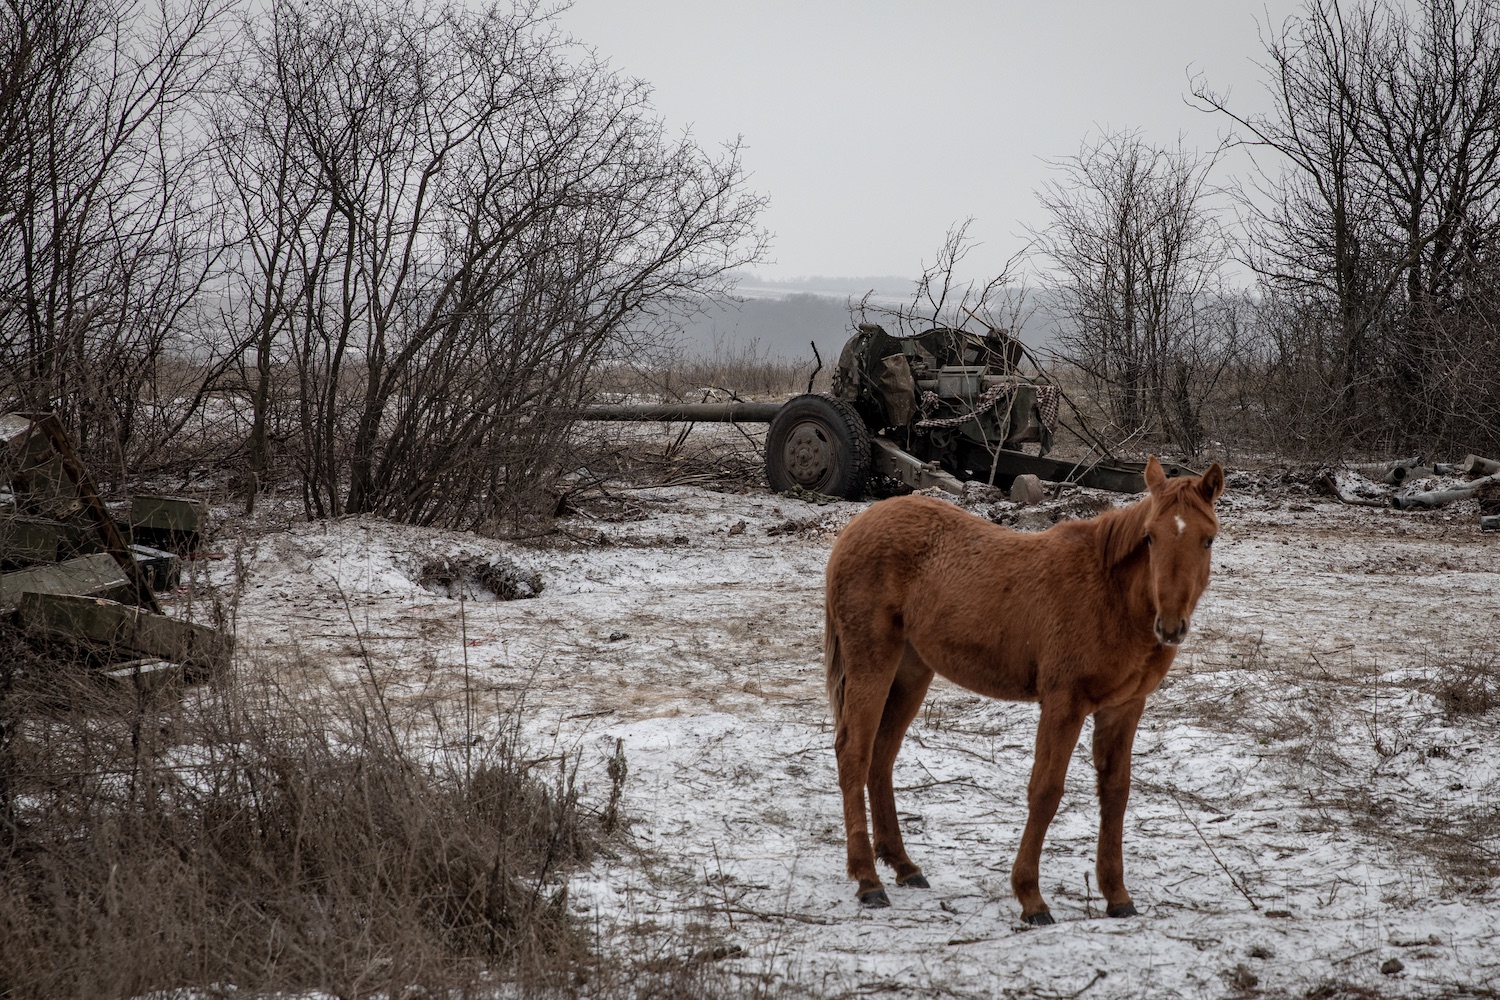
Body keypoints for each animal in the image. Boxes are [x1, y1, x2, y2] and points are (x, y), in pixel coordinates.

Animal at [828, 452, 1224, 923]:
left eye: (1207, 540)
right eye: (1149, 538)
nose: (1171, 626)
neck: (1109, 595)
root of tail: (857, 525)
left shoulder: (1124, 708)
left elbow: (1116, 793)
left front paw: (1117, 896)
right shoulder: (1064, 704)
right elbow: (1046, 791)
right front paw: (1031, 897)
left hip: (911, 671)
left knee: (882, 757)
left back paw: (904, 867)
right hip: (873, 660)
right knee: (855, 753)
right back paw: (867, 880)